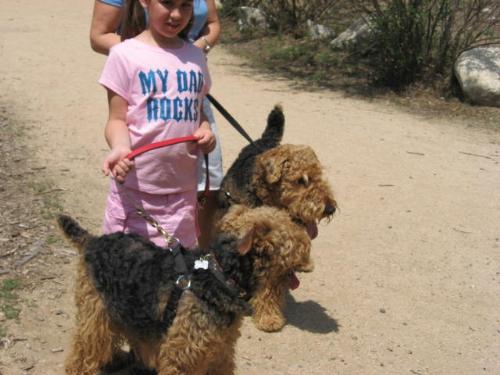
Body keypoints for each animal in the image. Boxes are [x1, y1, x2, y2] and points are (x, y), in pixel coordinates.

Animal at [57, 206, 308, 375]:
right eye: (287, 226)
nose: (307, 248)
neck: (220, 276)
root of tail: (92, 241)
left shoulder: (221, 352)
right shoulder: (181, 357)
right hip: (95, 311)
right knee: (82, 352)